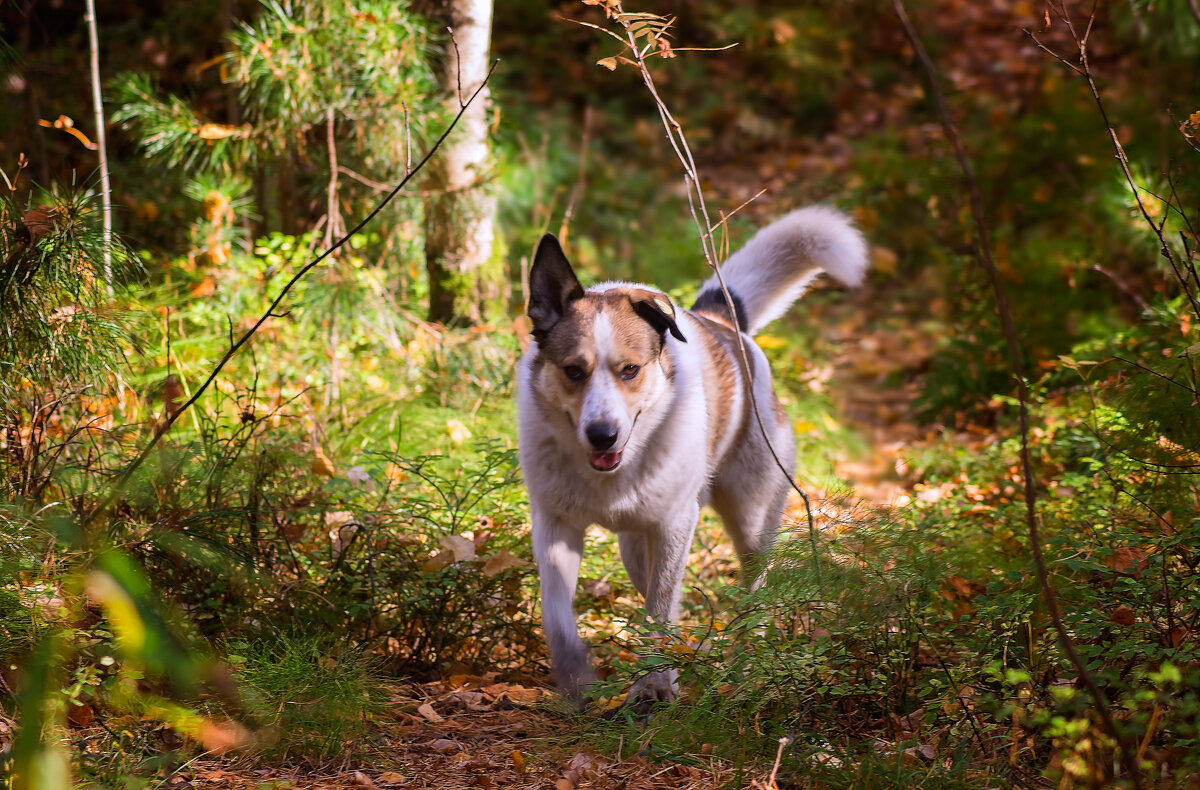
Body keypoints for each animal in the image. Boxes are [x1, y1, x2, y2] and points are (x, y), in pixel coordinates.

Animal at [520, 204, 868, 701]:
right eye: (572, 370)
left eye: (630, 370)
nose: (602, 435)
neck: (609, 476)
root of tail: (720, 321)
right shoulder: (555, 524)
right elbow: (557, 612)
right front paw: (576, 678)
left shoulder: (674, 525)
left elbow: (660, 607)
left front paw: (653, 686)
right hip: (634, 544)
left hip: (751, 517)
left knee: (754, 584)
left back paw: (747, 661)